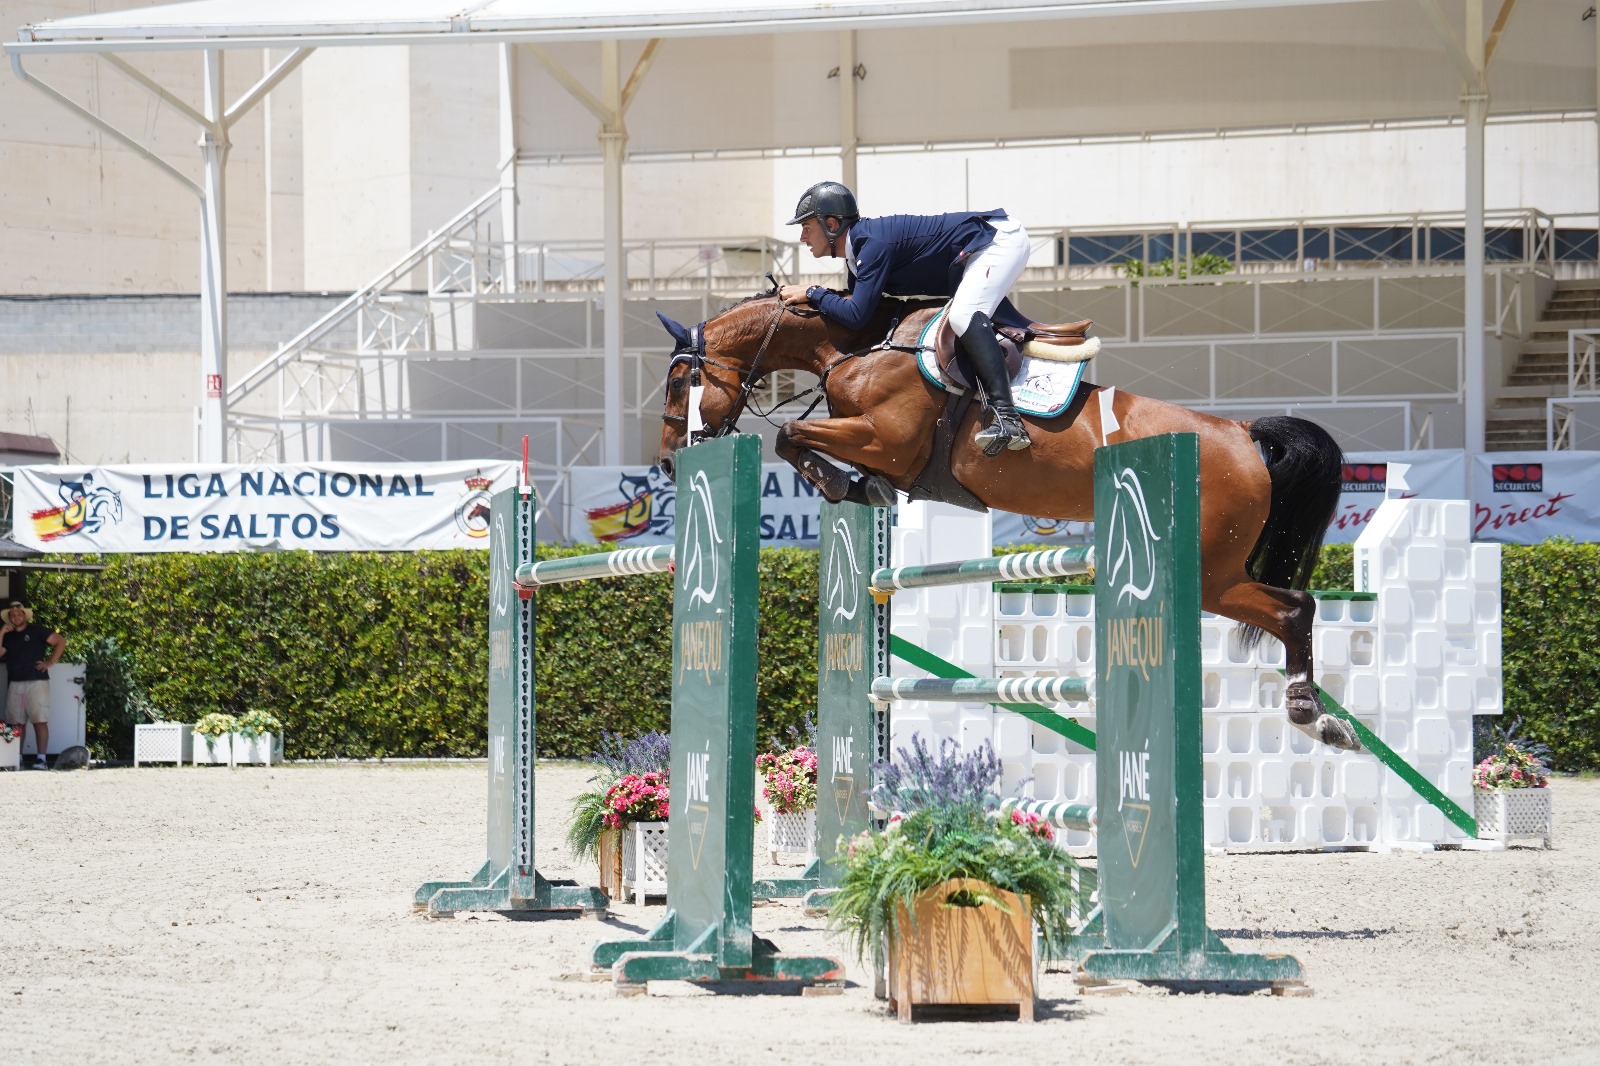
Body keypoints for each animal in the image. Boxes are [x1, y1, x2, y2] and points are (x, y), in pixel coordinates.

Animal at [656, 291, 1356, 745]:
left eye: (678, 384)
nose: (667, 462)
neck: (859, 346)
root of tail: (1243, 434)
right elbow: (801, 439)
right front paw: (854, 487)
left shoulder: (886, 440)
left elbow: (791, 435)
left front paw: (842, 483)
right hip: (1216, 571)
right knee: (1293, 607)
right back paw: (1319, 714)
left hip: (1210, 572)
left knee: (1294, 608)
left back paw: (1312, 713)